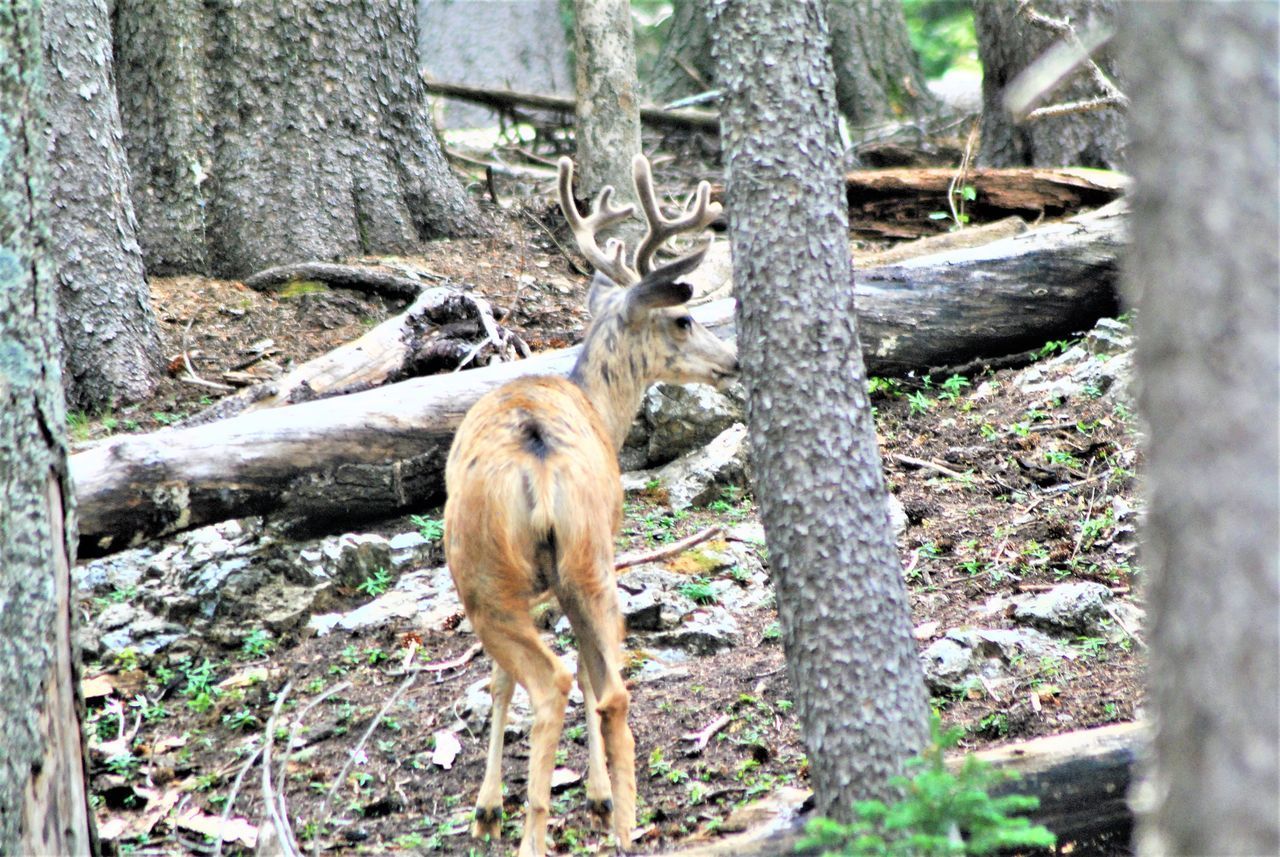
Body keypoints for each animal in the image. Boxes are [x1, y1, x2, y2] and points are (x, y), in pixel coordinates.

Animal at [442, 156, 737, 857]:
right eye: (684, 320)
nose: (734, 360)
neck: (598, 407)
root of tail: (539, 454)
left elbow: (502, 681)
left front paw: (488, 810)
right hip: (589, 552)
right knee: (611, 689)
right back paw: (625, 825)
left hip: (486, 570)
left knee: (552, 680)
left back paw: (544, 828)